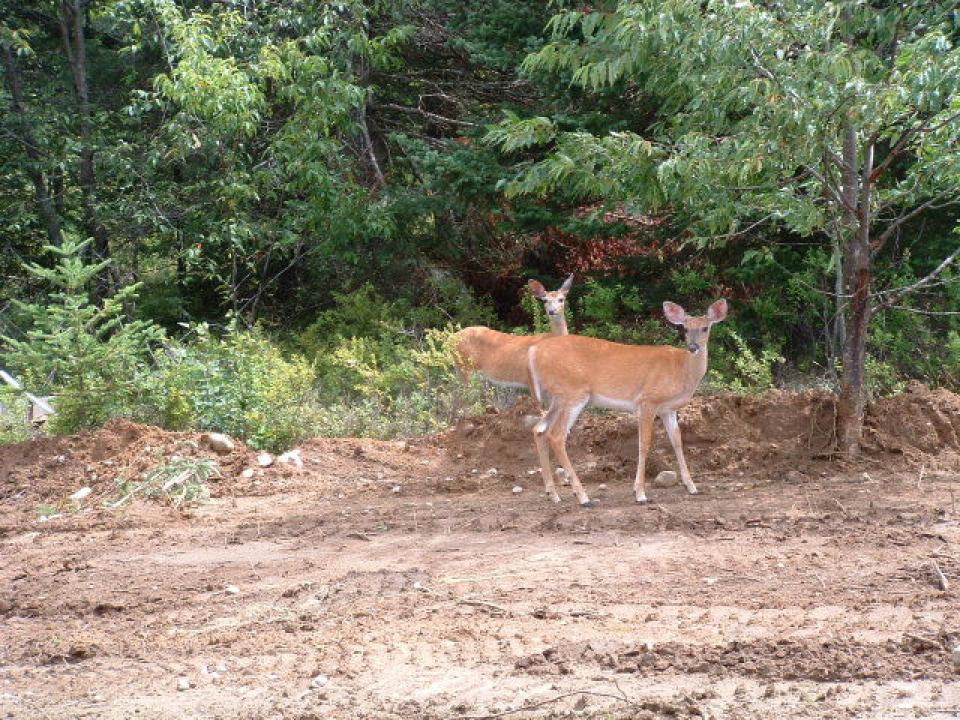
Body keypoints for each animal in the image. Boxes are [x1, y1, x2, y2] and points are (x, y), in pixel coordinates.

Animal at [524, 298, 728, 506]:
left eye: (705, 328)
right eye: (685, 329)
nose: (693, 347)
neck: (682, 370)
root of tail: (534, 352)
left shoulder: (667, 409)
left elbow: (677, 441)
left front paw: (691, 487)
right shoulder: (648, 400)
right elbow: (644, 444)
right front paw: (640, 493)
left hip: (559, 398)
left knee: (539, 430)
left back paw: (554, 495)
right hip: (573, 392)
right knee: (556, 435)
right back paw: (583, 497)